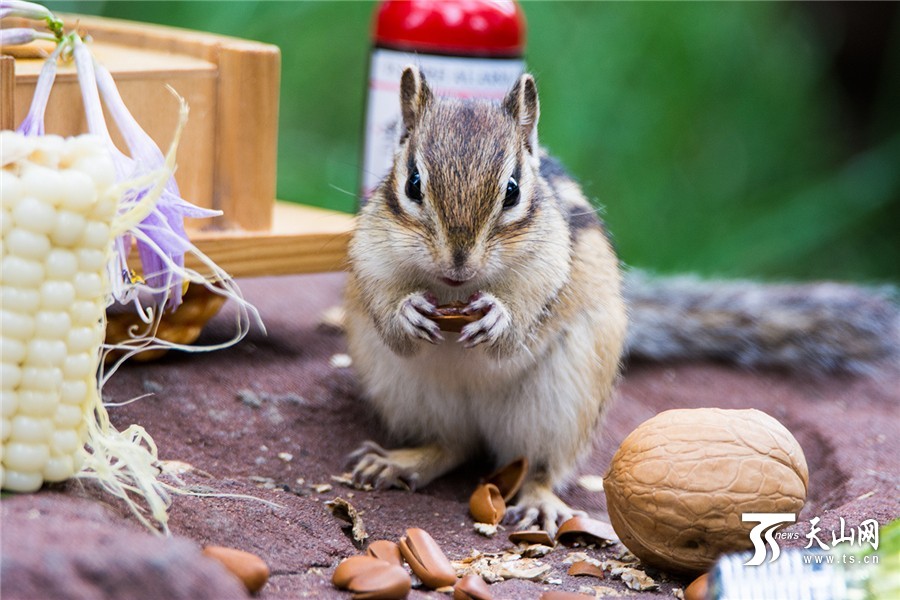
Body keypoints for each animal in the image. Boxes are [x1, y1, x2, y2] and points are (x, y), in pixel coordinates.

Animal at [343, 66, 900, 534]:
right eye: (413, 183)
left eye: (513, 191)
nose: (458, 264)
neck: (455, 294)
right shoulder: (370, 257)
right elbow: (384, 305)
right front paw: (406, 313)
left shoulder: (553, 266)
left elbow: (524, 316)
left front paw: (500, 320)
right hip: (406, 391)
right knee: (451, 444)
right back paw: (400, 461)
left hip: (562, 401)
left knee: (540, 466)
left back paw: (539, 501)